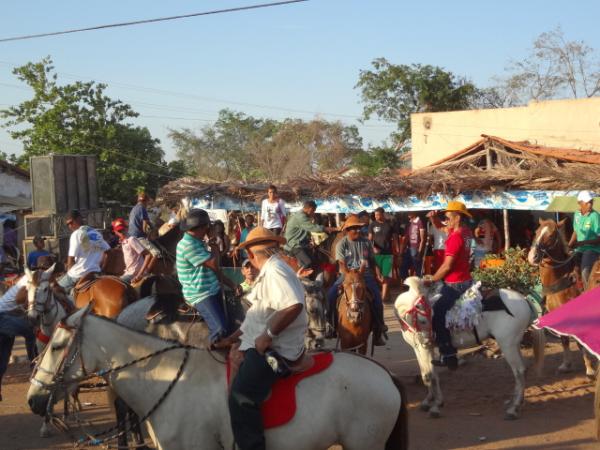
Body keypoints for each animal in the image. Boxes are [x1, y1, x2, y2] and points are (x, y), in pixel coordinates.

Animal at [394, 276, 544, 420]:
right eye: (422, 320)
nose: (426, 340)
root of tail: (524, 299)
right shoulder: (418, 348)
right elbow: (427, 374)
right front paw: (429, 401)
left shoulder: (424, 348)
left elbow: (429, 375)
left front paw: (436, 405)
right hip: (514, 343)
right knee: (522, 371)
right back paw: (515, 402)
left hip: (507, 344)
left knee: (519, 371)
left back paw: (513, 409)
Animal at [528, 218, 596, 376]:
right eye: (536, 231)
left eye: (552, 235)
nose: (532, 256)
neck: (561, 277)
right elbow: (564, 339)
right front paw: (566, 364)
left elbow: (578, 341)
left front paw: (589, 367)